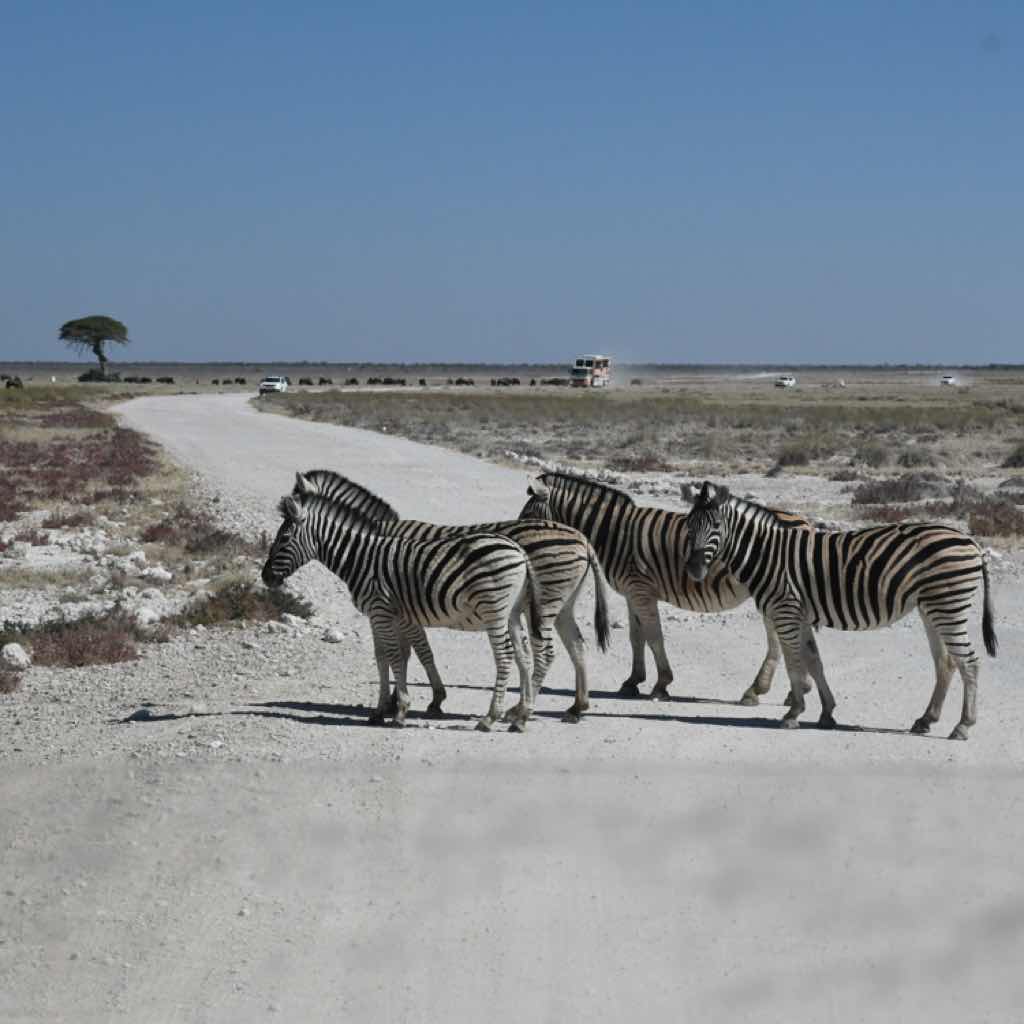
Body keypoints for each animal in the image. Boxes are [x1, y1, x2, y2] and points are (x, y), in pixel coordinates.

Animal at [264, 491, 544, 733]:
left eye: (284, 538)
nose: (265, 577)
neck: (360, 558)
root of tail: (519, 550)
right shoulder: (381, 615)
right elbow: (382, 658)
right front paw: (379, 711)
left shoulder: (381, 611)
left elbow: (394, 657)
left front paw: (400, 711)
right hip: (512, 613)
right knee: (524, 655)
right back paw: (521, 717)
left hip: (494, 610)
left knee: (505, 657)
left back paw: (490, 718)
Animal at [288, 471, 606, 720]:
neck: (372, 545)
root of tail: (582, 539)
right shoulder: (405, 609)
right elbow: (406, 652)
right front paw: (399, 701)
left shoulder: (402, 610)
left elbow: (411, 651)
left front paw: (414, 700)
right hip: (561, 604)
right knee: (576, 645)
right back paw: (575, 706)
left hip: (544, 602)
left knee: (546, 651)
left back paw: (521, 710)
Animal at [520, 473, 782, 704]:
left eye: (529, 515)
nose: (521, 545)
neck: (616, 533)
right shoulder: (632, 593)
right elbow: (636, 636)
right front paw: (633, 681)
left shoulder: (641, 590)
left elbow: (654, 636)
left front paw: (661, 684)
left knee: (776, 639)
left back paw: (757, 690)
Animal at [679, 483, 999, 741]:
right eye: (689, 525)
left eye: (716, 525)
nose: (693, 569)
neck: (766, 555)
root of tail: (971, 541)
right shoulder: (801, 615)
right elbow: (814, 661)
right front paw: (826, 713)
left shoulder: (785, 611)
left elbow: (795, 664)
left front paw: (794, 713)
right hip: (932, 607)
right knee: (946, 663)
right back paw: (926, 719)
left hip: (948, 605)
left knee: (969, 663)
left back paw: (962, 726)